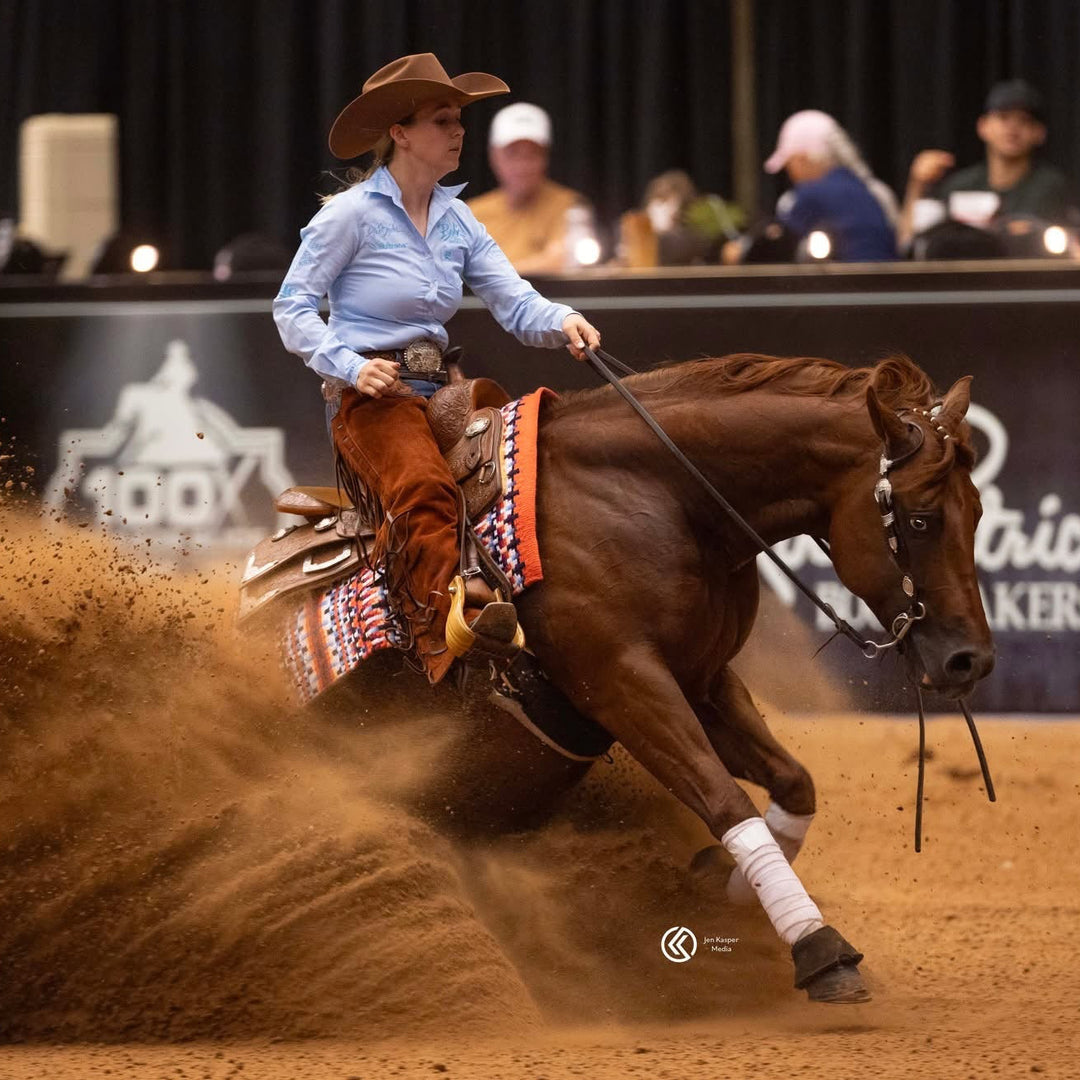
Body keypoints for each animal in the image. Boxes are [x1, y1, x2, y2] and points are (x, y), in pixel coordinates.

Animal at [262, 351, 993, 1005]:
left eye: (981, 512)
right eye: (922, 518)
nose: (972, 661)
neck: (661, 499)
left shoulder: (702, 679)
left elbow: (793, 782)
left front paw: (723, 887)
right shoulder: (621, 681)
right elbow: (725, 800)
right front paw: (819, 948)